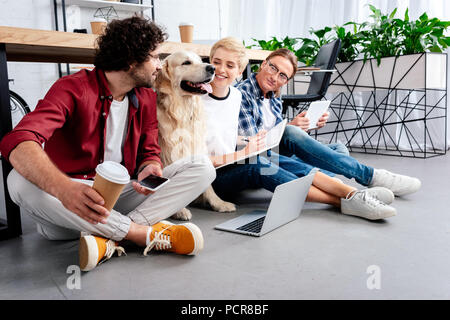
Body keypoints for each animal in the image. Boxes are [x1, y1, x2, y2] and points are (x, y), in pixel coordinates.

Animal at [156, 50, 237, 220]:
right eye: (186, 63)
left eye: (200, 60)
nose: (212, 68)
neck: (182, 112)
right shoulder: (167, 153)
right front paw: (179, 210)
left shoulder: (197, 146)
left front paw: (218, 203)